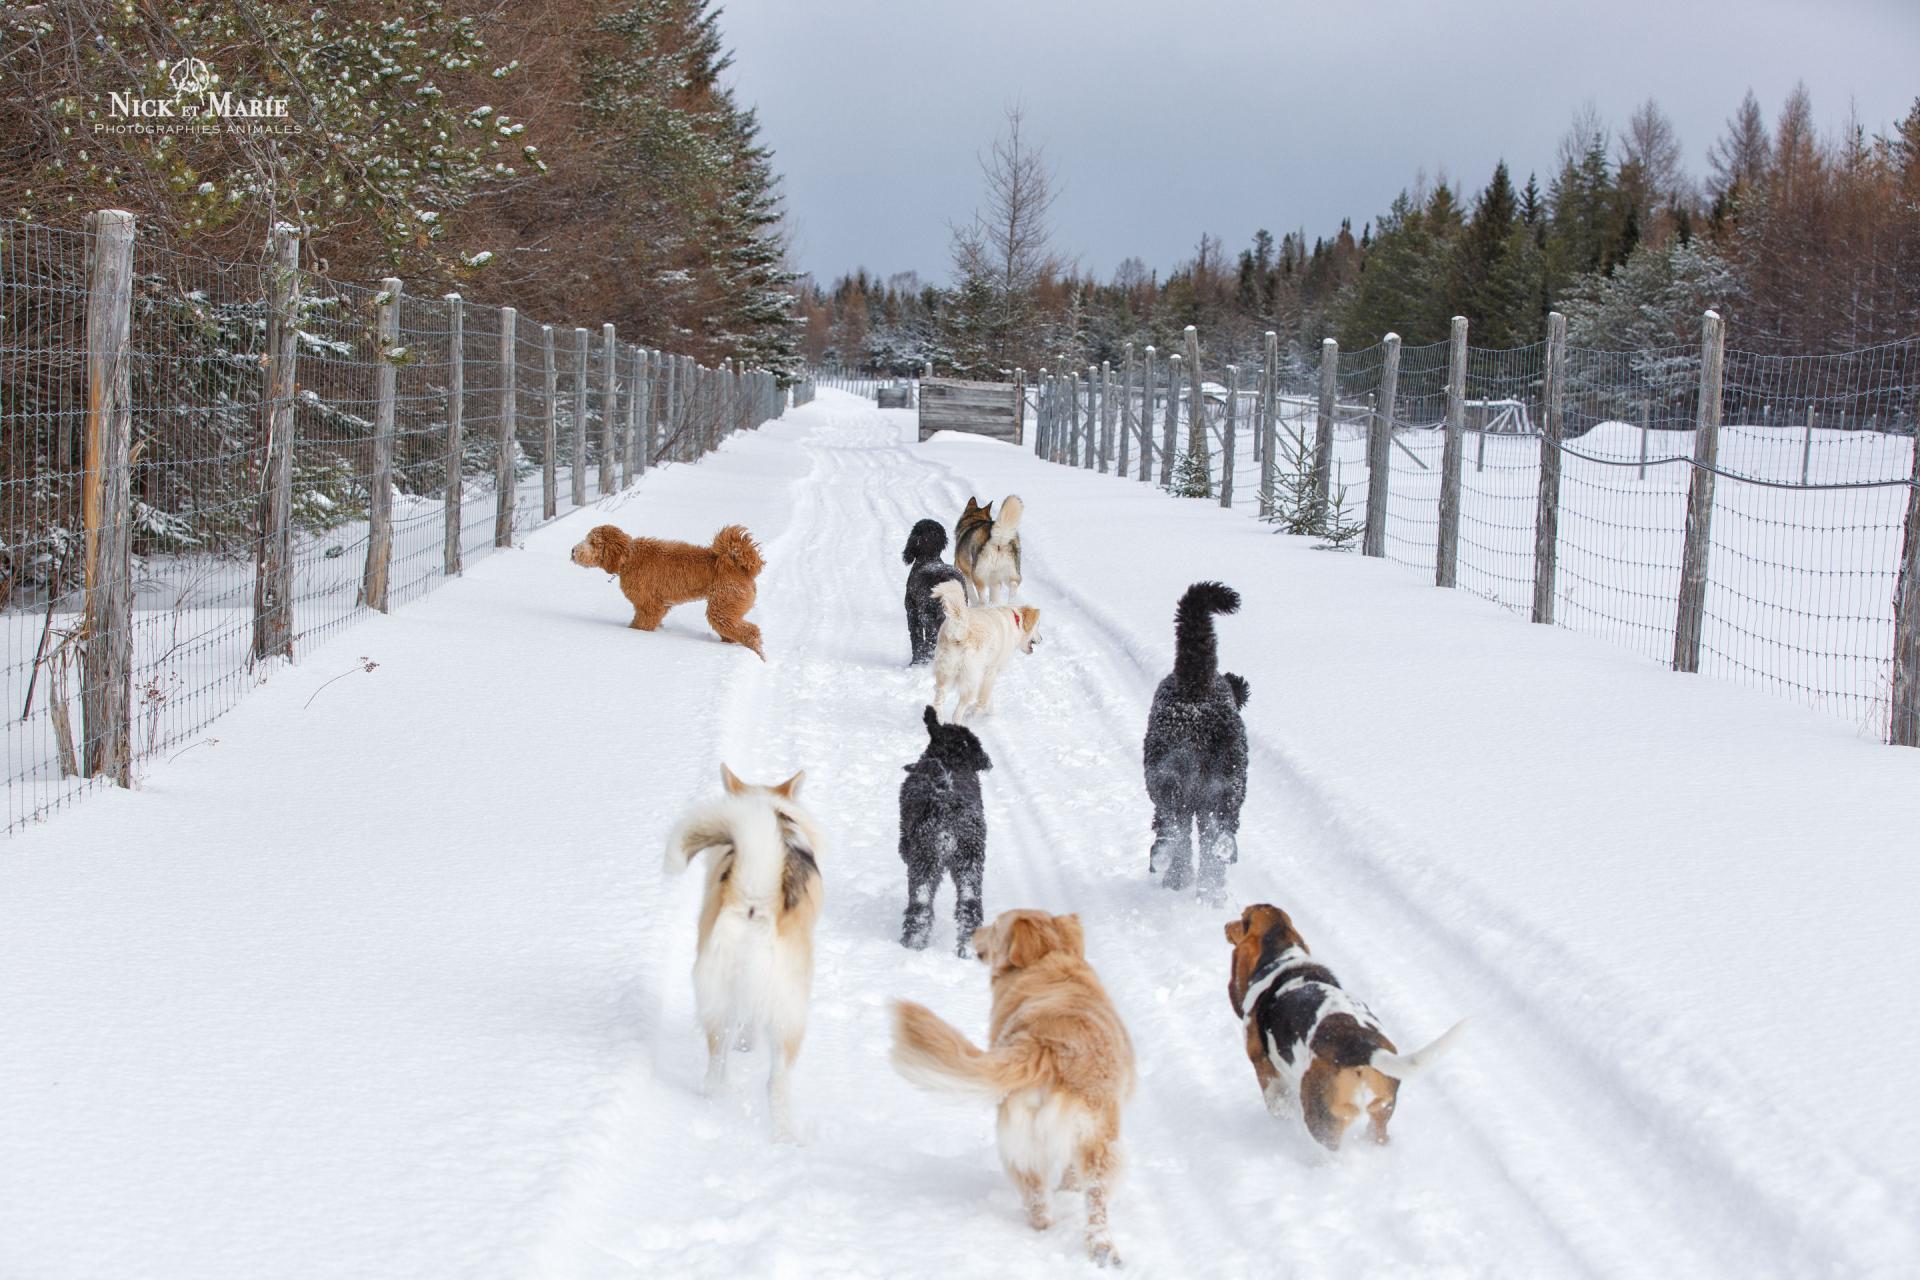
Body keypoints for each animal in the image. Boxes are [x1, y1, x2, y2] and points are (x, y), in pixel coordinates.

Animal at [572, 521, 768, 660]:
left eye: (593, 542)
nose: (573, 551)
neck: (628, 557)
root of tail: (739, 566)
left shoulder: (649, 606)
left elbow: (641, 625)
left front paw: (634, 634)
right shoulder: (658, 606)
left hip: (723, 607)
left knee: (751, 632)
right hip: (727, 609)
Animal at [898, 518, 960, 667]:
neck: (928, 557)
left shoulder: (912, 613)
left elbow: (916, 638)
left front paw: (915, 662)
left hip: (928, 616)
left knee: (929, 642)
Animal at [898, 706, 990, 955]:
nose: (987, 761)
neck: (950, 758)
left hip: (925, 862)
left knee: (920, 907)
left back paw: (912, 944)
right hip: (970, 863)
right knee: (970, 908)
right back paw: (967, 951)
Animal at [933, 583, 1044, 725]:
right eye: (1038, 625)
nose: (1041, 639)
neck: (1015, 621)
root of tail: (960, 628)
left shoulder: (987, 674)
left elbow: (987, 698)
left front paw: (989, 711)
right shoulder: (990, 672)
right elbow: (983, 700)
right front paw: (974, 713)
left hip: (946, 673)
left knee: (938, 700)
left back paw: (939, 720)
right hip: (971, 679)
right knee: (958, 711)